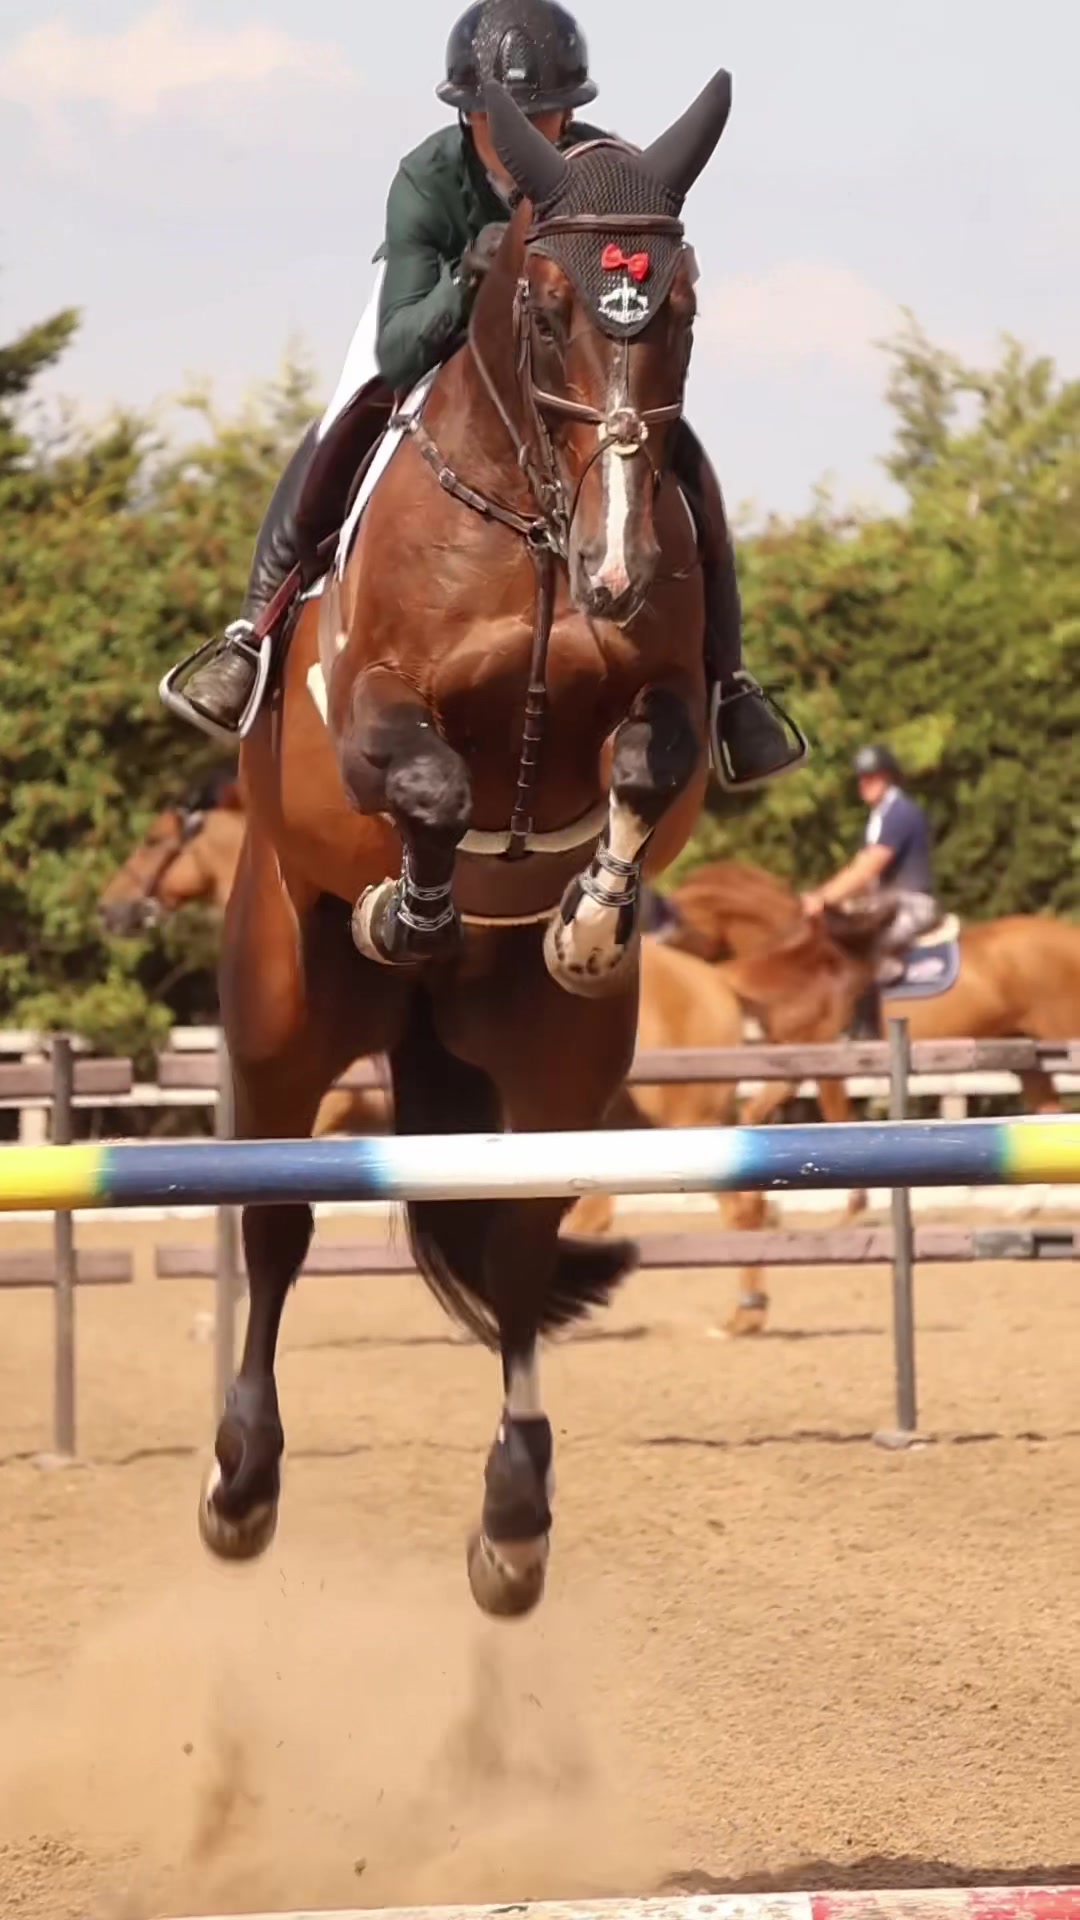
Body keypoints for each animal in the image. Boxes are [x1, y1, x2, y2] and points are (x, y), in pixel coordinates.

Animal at [166, 74, 737, 1614]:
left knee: (521, 1236)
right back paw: (241, 1486)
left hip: (553, 1070)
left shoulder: (664, 696)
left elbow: (648, 760)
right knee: (278, 1227)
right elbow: (421, 781)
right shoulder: (371, 707)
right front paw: (413, 906)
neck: (537, 520)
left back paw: (515, 1523)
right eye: (541, 306)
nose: (619, 569)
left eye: (682, 305)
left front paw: (591, 915)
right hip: (282, 1025)